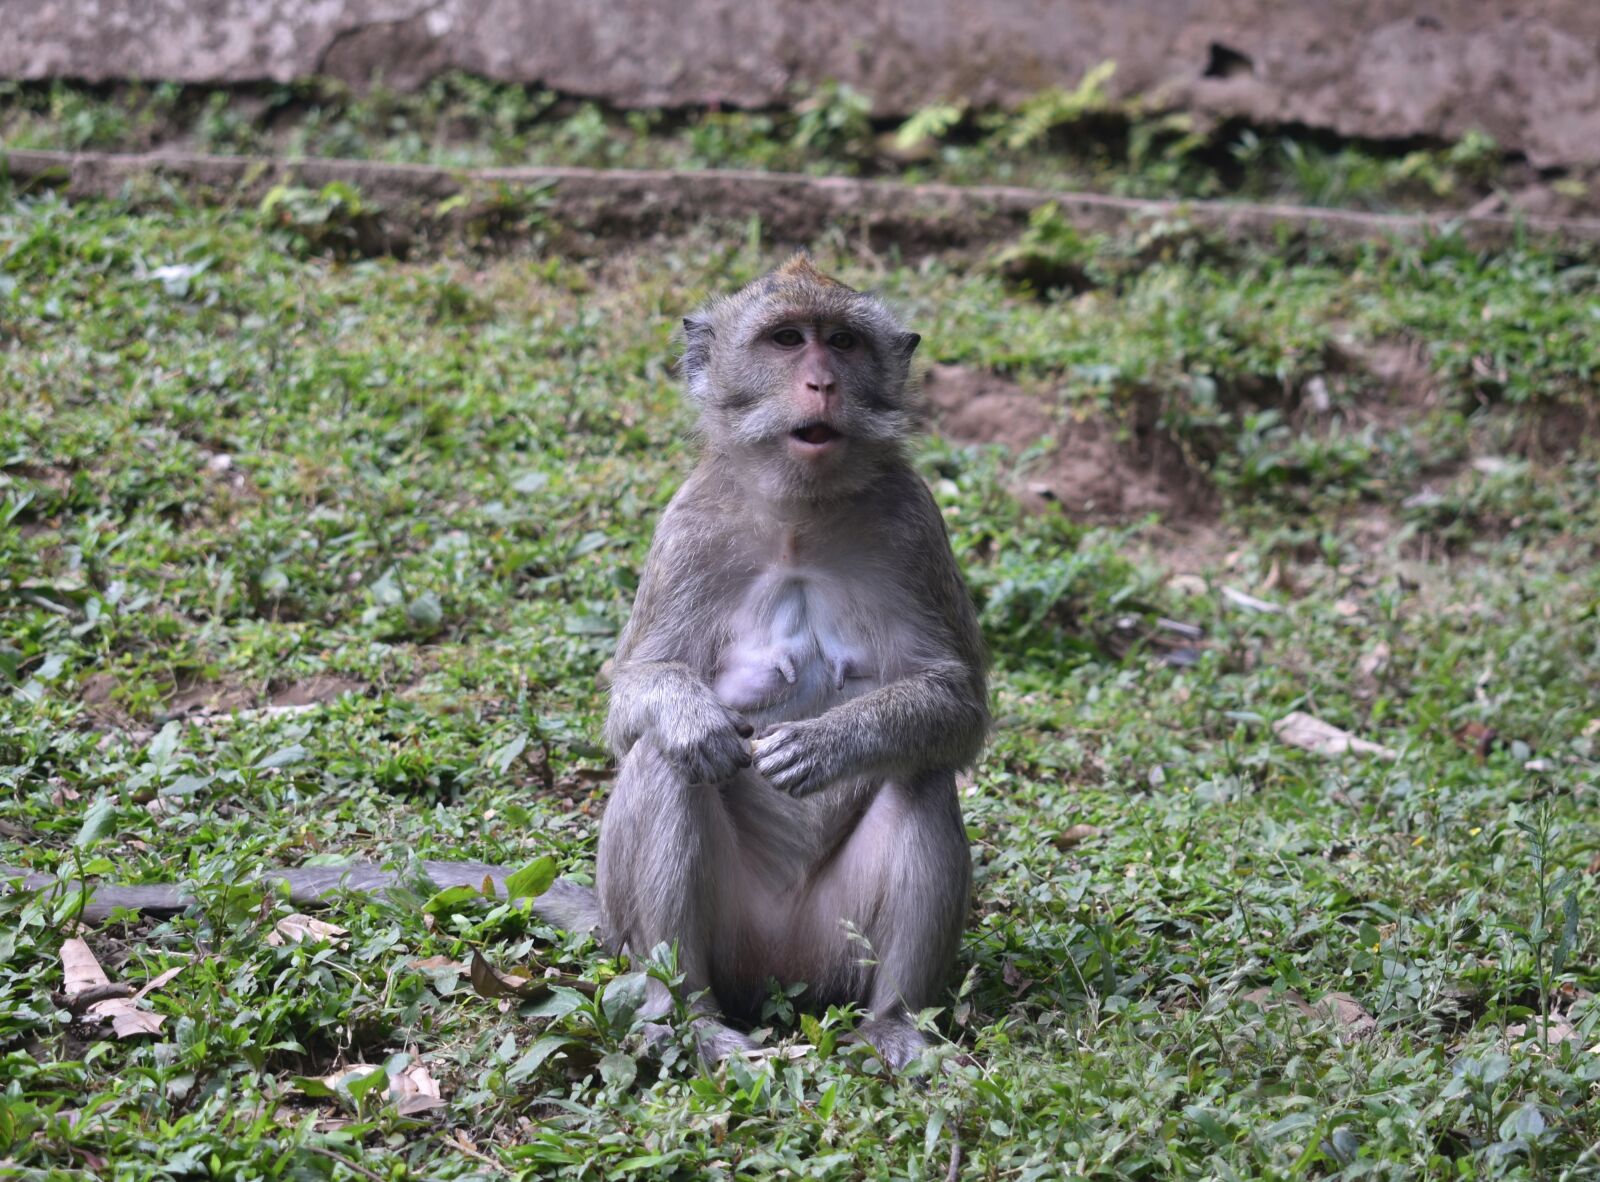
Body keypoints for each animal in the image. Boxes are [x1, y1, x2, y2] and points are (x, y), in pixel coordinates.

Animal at [8, 256, 988, 1071]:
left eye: (844, 342)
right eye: (786, 340)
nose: (821, 380)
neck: (799, 515)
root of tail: (779, 970)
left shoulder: (912, 523)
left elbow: (957, 704)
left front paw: (829, 743)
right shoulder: (689, 530)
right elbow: (638, 705)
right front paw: (692, 720)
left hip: (829, 947)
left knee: (920, 774)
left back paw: (893, 1023)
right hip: (714, 939)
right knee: (665, 771)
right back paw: (695, 1018)